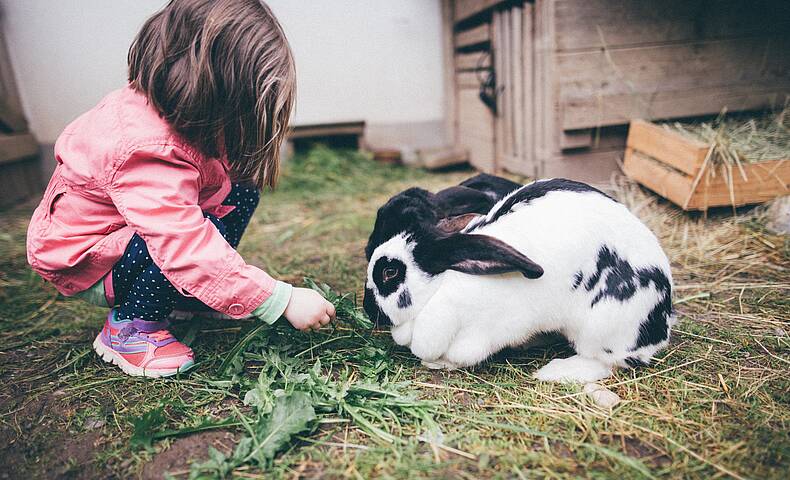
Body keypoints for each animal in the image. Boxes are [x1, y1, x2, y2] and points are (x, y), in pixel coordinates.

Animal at [366, 176, 676, 382]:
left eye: (390, 272)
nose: (370, 311)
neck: (440, 288)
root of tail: (661, 322)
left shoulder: (485, 330)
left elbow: (461, 354)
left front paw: (439, 363)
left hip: (601, 327)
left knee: (609, 362)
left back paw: (556, 371)